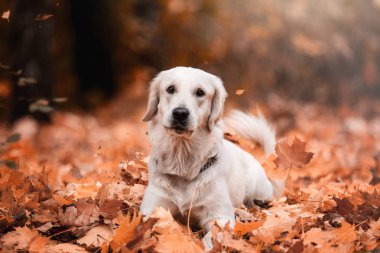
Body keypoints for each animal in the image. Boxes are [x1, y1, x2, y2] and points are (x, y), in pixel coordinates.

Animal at [140, 66, 282, 249]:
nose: (180, 113)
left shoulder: (220, 215)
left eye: (200, 92)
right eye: (170, 89)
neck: (183, 164)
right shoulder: (152, 207)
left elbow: (211, 238)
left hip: (258, 190)